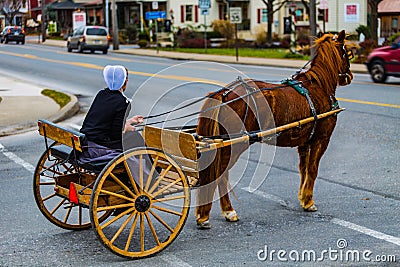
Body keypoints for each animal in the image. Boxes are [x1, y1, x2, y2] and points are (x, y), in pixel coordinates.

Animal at [195, 30, 354, 228]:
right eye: (347, 52)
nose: (350, 76)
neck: (318, 86)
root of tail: (223, 94)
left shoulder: (304, 142)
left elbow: (303, 169)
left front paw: (302, 198)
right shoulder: (321, 139)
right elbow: (312, 169)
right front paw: (309, 202)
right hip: (233, 146)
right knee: (221, 176)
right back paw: (225, 212)